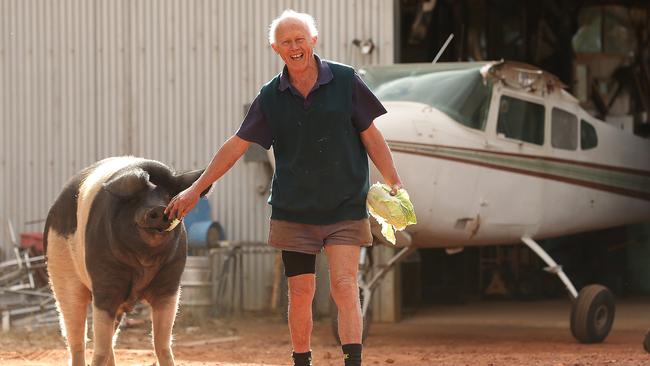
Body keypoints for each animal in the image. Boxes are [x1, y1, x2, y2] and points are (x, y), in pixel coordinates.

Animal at [44, 157, 209, 366]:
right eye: (135, 198)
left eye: (169, 196)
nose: (159, 209)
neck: (144, 262)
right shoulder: (105, 285)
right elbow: (99, 348)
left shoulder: (169, 285)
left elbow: (162, 344)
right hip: (61, 271)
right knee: (77, 336)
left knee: (109, 341)